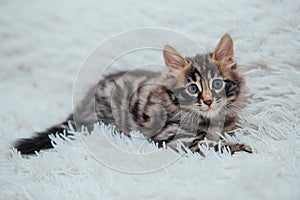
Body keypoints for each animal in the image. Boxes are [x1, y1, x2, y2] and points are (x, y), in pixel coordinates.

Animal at [14, 34, 253, 155]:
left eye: (217, 84)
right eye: (192, 89)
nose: (208, 101)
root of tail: (83, 105)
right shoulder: (175, 140)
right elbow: (211, 145)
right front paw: (240, 147)